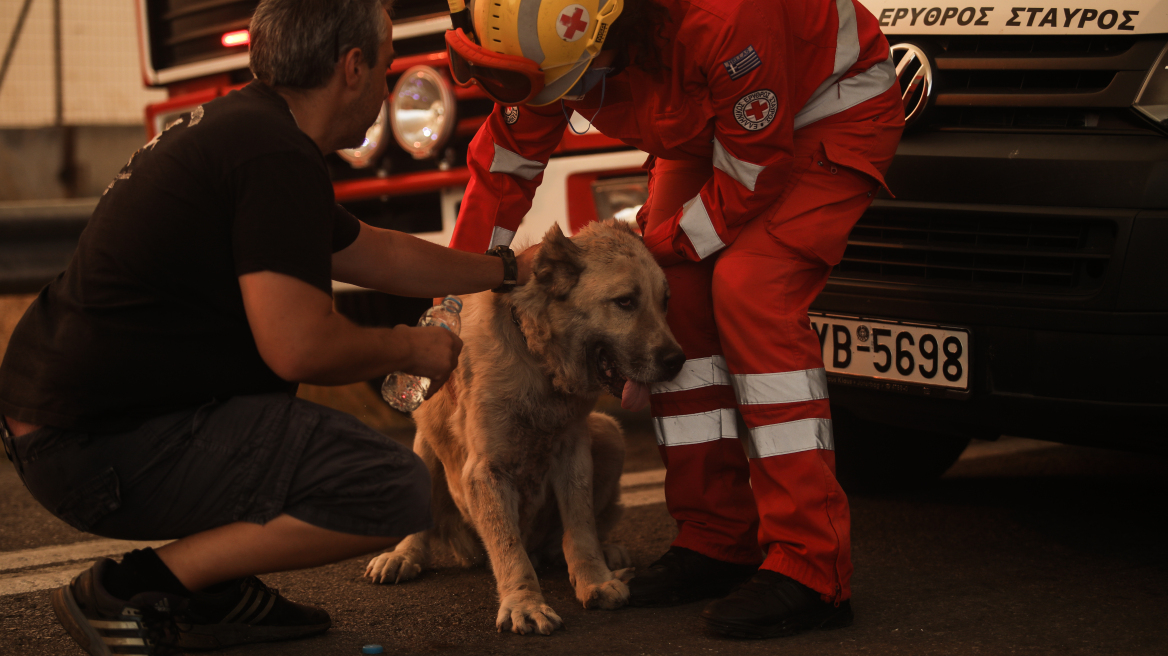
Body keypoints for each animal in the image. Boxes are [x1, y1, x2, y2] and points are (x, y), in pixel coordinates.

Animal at [364, 219, 682, 634]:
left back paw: (605, 553)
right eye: (625, 302)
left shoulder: (574, 452)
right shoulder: (485, 471)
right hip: (424, 442)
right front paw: (524, 603)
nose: (678, 361)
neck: (537, 360)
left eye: (665, 301)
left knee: (570, 536)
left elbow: (580, 527)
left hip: (609, 434)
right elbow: (509, 547)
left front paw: (595, 579)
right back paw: (403, 555)